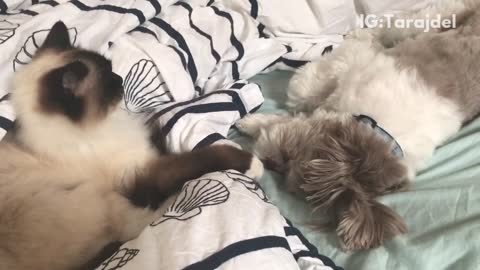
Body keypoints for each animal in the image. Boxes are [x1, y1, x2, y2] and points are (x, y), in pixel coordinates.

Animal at [0, 21, 262, 270]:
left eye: (111, 68)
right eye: (108, 82)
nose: (120, 79)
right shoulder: (140, 172)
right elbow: (202, 157)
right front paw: (252, 164)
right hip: (100, 202)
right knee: (142, 225)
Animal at [236, 1, 480, 251]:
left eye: (286, 162)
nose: (269, 162)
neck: (381, 130)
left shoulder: (350, 63)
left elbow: (301, 91)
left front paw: (252, 122)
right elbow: (302, 94)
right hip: (434, 17)